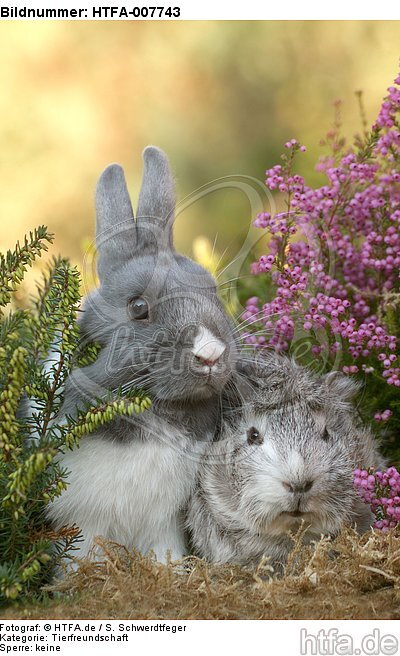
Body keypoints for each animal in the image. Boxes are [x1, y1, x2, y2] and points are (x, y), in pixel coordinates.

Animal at [46, 146, 239, 565]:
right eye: (138, 307)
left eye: (213, 290)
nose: (210, 353)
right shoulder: (83, 521)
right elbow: (82, 559)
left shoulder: (164, 522)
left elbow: (164, 553)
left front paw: (171, 572)